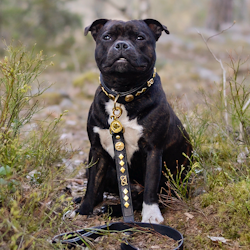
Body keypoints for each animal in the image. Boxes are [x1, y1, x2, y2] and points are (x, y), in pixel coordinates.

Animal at [77, 18, 192, 224]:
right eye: (107, 37)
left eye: (140, 37)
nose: (122, 45)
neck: (123, 95)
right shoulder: (97, 150)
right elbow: (92, 185)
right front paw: (83, 211)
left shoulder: (153, 151)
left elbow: (150, 187)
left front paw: (151, 215)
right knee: (102, 189)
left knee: (141, 197)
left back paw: (112, 209)